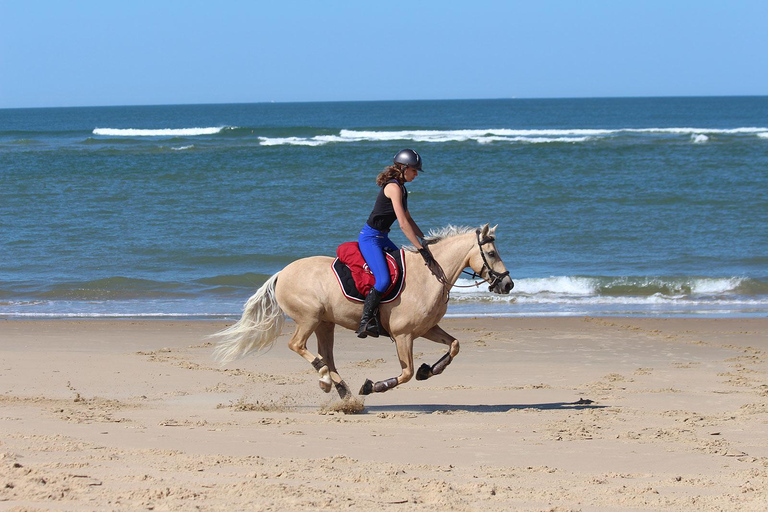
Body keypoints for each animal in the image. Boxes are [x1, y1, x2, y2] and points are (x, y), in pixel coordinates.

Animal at [212, 225, 510, 400]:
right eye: (491, 253)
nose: (507, 284)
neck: (430, 274)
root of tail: (281, 274)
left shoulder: (425, 329)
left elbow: (454, 345)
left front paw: (430, 370)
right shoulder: (403, 335)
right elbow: (406, 373)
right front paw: (373, 386)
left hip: (325, 323)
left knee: (326, 356)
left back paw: (340, 390)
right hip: (309, 318)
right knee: (298, 346)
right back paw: (326, 379)